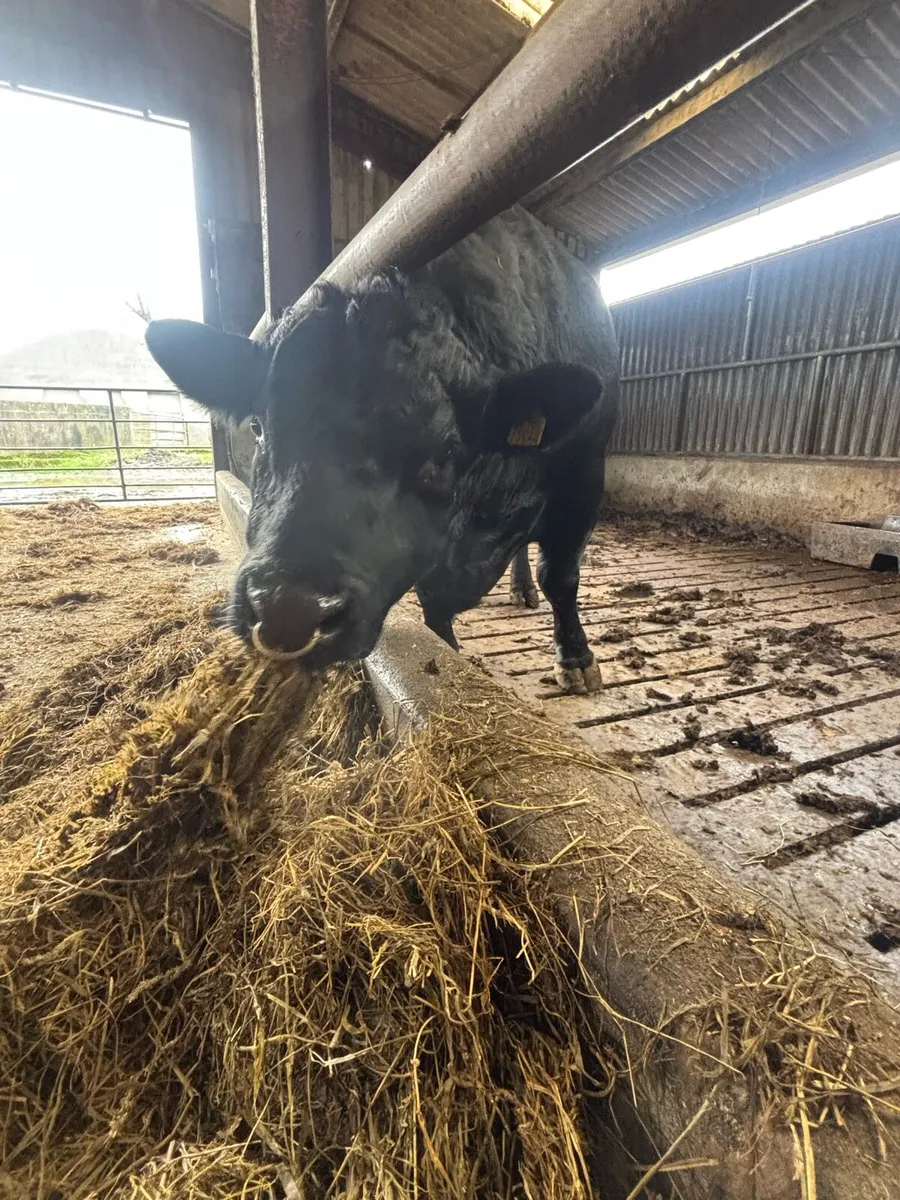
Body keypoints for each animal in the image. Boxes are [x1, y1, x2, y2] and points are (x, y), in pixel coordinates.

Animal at [145, 206, 619, 694]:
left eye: (444, 447)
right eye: (258, 426)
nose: (288, 610)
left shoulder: (584, 480)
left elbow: (560, 577)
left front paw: (576, 659)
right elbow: (435, 603)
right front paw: (449, 652)